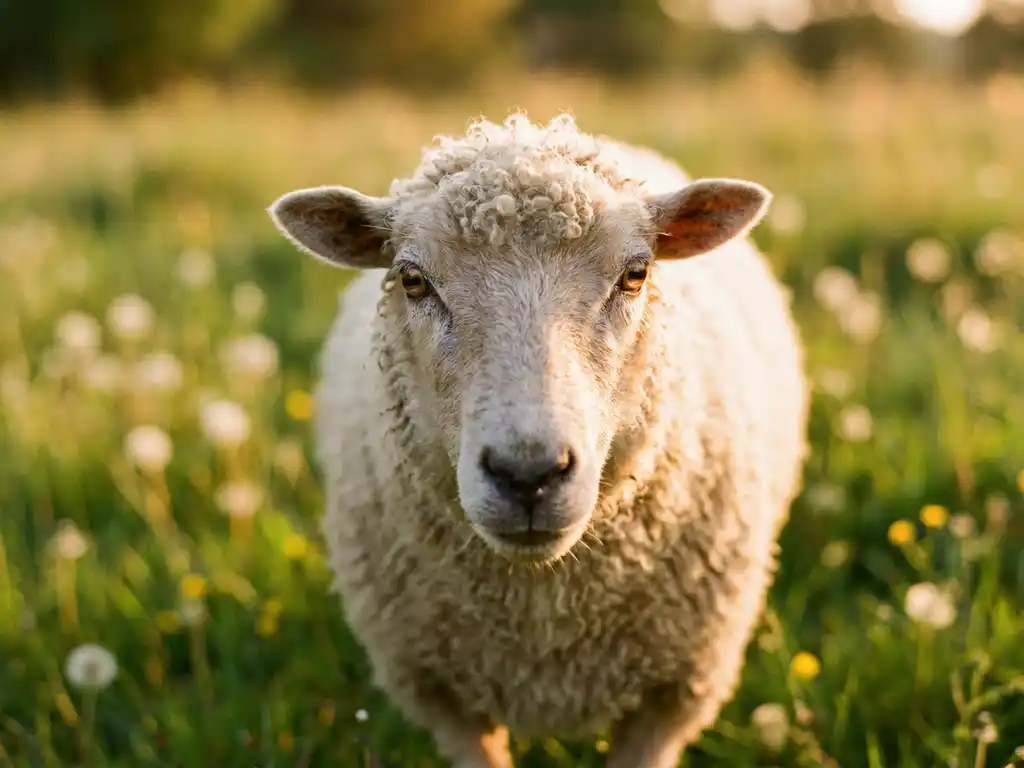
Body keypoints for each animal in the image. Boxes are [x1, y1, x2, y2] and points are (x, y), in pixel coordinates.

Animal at [267, 112, 810, 768]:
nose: (528, 474)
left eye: (635, 274)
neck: (543, 615)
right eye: (413, 280)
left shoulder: (675, 694)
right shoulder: (441, 693)